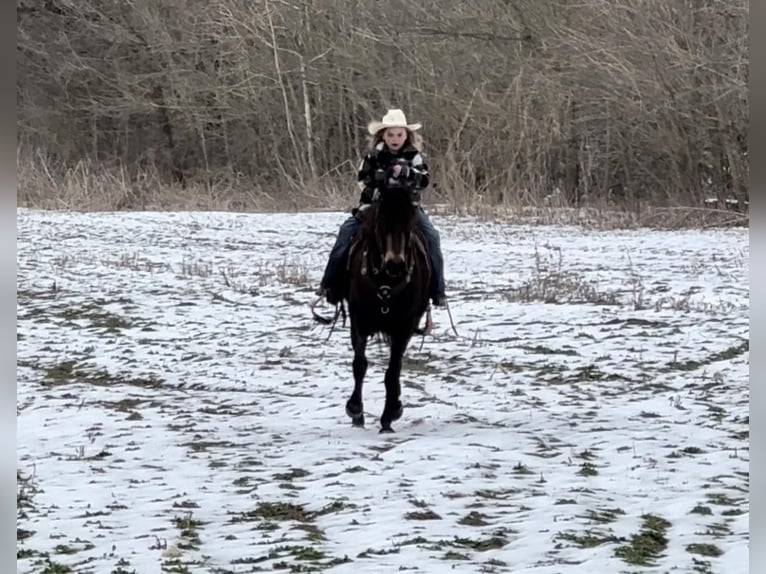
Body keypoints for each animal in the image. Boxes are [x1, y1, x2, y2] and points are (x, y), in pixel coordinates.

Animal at [342, 180, 432, 432]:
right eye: (381, 220)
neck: (386, 282)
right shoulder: (358, 319)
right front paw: (355, 411)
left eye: (409, 221)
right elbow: (360, 364)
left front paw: (389, 416)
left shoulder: (405, 326)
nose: (395, 265)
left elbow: (393, 370)